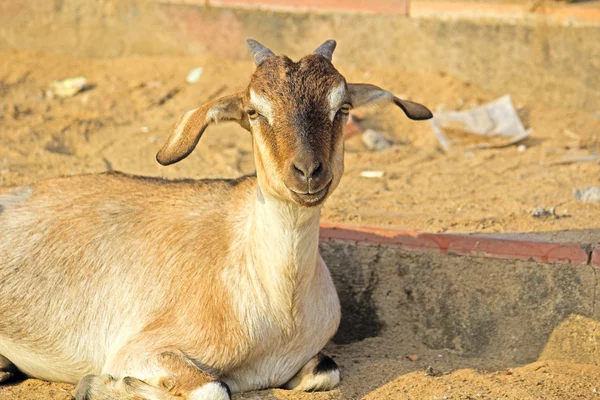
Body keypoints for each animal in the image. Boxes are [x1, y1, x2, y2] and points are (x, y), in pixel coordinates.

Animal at [0, 38, 432, 400]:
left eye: (342, 108)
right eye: (254, 111)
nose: (308, 172)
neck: (279, 307)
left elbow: (326, 370)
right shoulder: (139, 349)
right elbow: (214, 388)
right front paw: (103, 387)